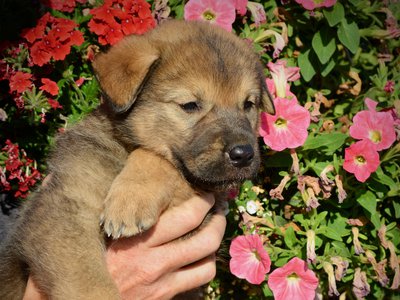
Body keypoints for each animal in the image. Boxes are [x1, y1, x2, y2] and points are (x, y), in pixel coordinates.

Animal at [0, 19, 274, 298]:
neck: (125, 147)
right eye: (189, 105)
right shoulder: (67, 209)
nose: (244, 154)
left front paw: (131, 199)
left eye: (248, 104)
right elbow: (87, 284)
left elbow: (160, 159)